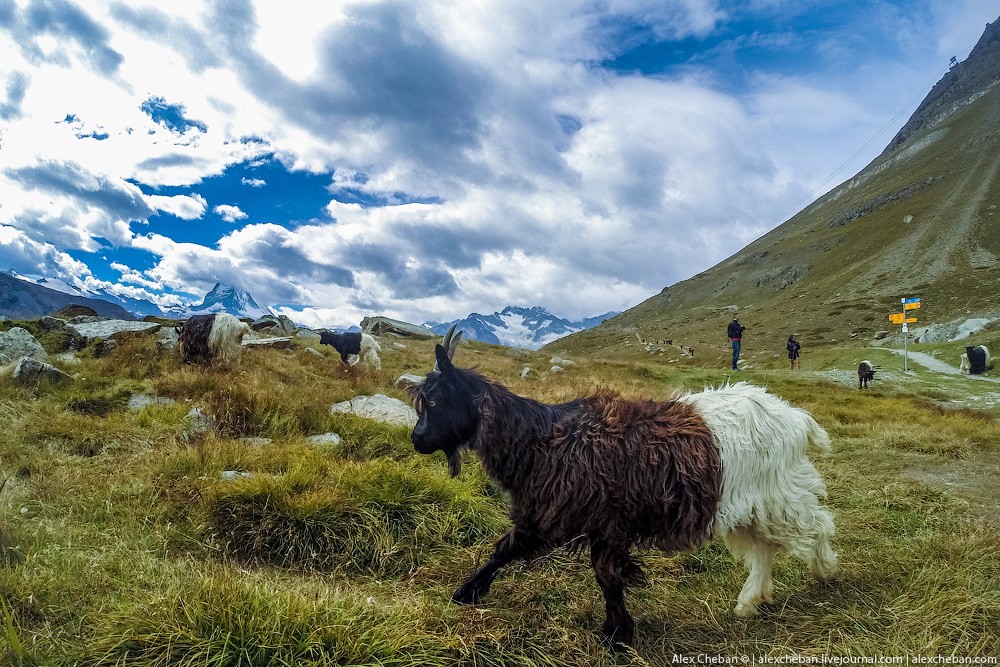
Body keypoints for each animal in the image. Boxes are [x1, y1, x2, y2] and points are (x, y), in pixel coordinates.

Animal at [406, 326, 836, 648]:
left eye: (434, 400)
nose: (417, 440)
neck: (542, 441)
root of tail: (795, 417)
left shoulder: (604, 521)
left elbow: (606, 575)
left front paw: (617, 636)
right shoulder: (549, 516)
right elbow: (505, 550)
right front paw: (466, 592)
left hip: (778, 496)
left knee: (816, 526)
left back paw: (826, 573)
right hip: (747, 506)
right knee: (764, 549)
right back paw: (749, 603)